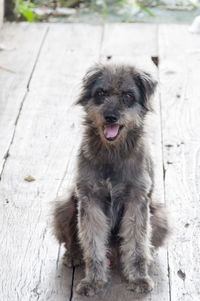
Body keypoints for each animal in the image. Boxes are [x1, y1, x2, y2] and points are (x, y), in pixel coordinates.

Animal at [53, 63, 169, 296]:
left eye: (128, 96)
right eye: (101, 93)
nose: (111, 117)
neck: (112, 152)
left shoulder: (136, 202)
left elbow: (137, 244)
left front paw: (139, 278)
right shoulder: (90, 201)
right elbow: (92, 244)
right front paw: (93, 281)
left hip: (159, 218)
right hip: (64, 206)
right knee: (73, 240)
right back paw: (73, 255)